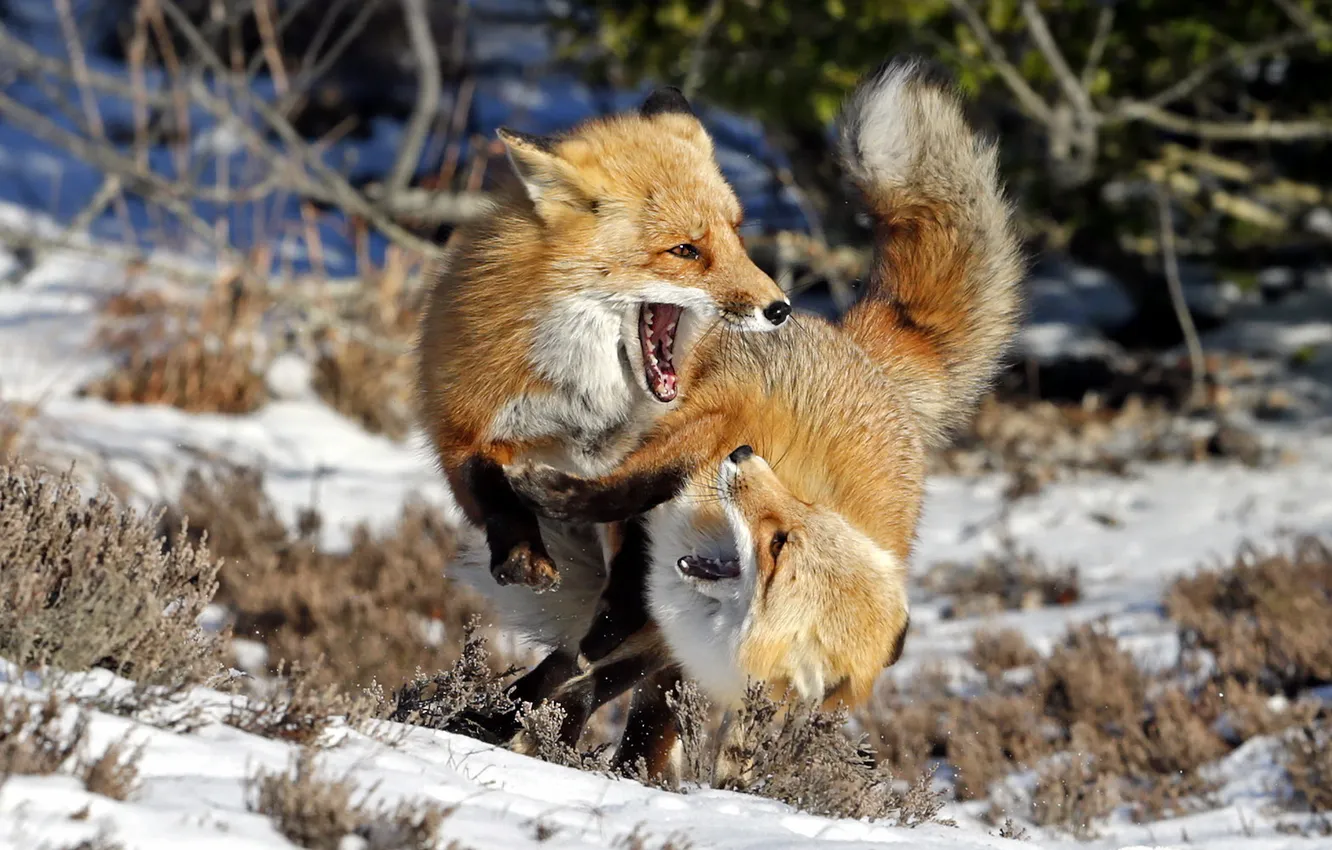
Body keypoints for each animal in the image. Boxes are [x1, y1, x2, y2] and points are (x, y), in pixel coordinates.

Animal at [415, 86, 791, 595]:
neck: (585, 404)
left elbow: (632, 508)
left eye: (736, 235)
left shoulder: (678, 434)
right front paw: (524, 555)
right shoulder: (463, 416)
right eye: (685, 250)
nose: (780, 309)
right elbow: (488, 484)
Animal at [482, 57, 1025, 774]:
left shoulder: (668, 645)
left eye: (780, 544)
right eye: (799, 518)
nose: (745, 458)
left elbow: (590, 680)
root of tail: (863, 358)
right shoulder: (690, 451)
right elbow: (620, 508)